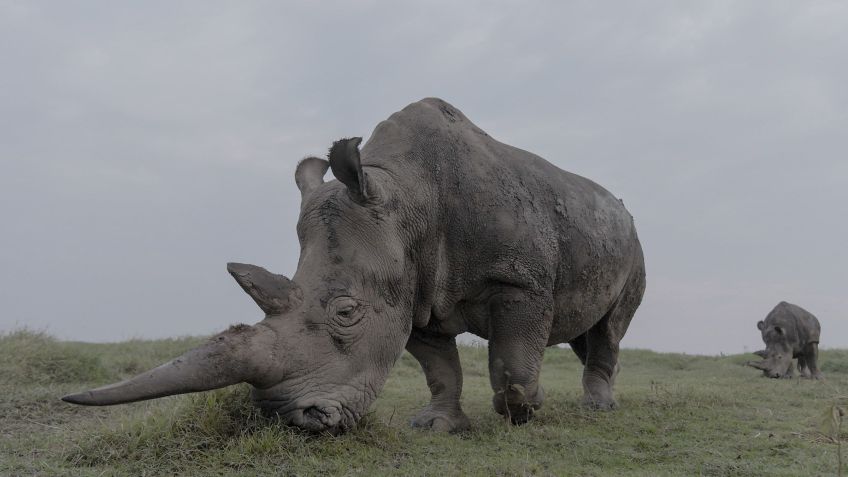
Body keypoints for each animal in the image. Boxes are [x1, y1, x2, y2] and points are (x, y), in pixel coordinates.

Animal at [63, 98, 646, 433]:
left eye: (346, 312)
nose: (298, 422)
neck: (407, 194)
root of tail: (621, 209)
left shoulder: (518, 279)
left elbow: (511, 363)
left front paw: (525, 412)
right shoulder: (413, 291)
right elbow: (439, 368)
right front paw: (437, 425)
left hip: (634, 241)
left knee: (611, 327)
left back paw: (598, 411)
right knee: (588, 331)